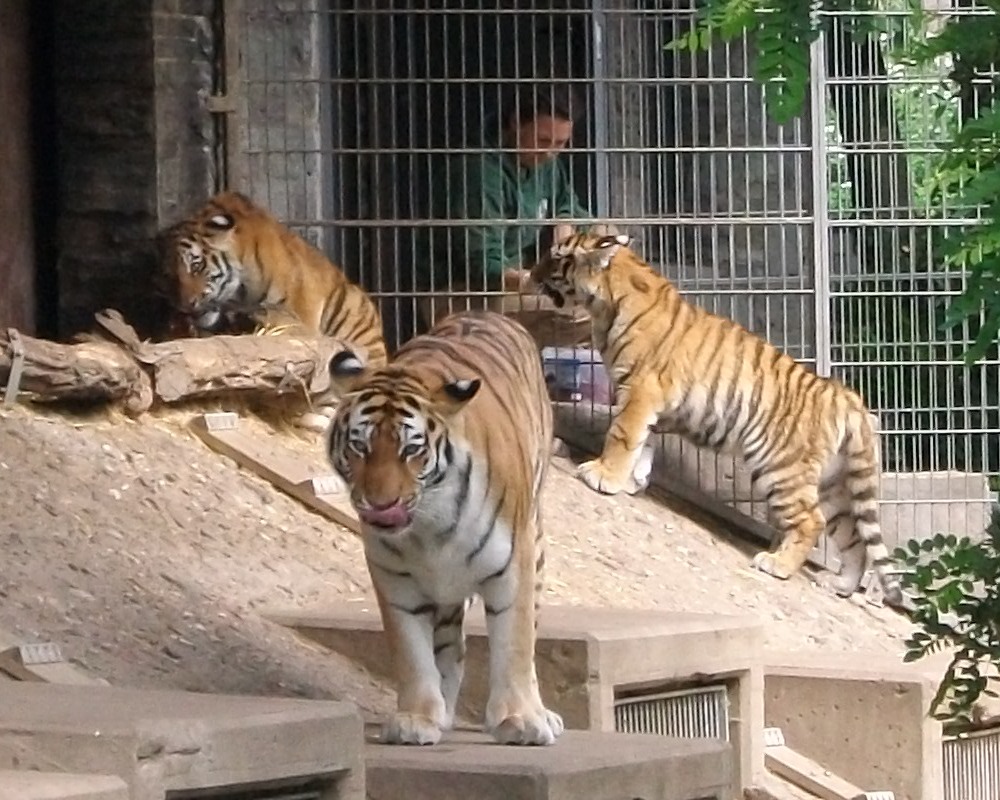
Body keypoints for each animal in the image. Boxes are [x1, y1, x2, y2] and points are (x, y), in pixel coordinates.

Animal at [326, 310, 564, 744]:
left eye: (412, 450)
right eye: (359, 446)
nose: (381, 504)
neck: (429, 526)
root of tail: (484, 311)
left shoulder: (514, 567)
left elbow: (515, 642)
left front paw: (520, 720)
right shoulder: (395, 578)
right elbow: (413, 652)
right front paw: (417, 718)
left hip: (535, 545)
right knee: (449, 646)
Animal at [532, 231, 908, 608]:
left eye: (556, 257)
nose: (531, 275)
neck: (607, 301)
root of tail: (846, 398)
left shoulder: (640, 389)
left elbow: (622, 436)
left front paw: (603, 475)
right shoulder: (648, 401)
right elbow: (643, 444)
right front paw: (631, 482)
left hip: (781, 468)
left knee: (810, 521)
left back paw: (777, 565)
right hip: (833, 486)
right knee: (854, 540)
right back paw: (839, 584)